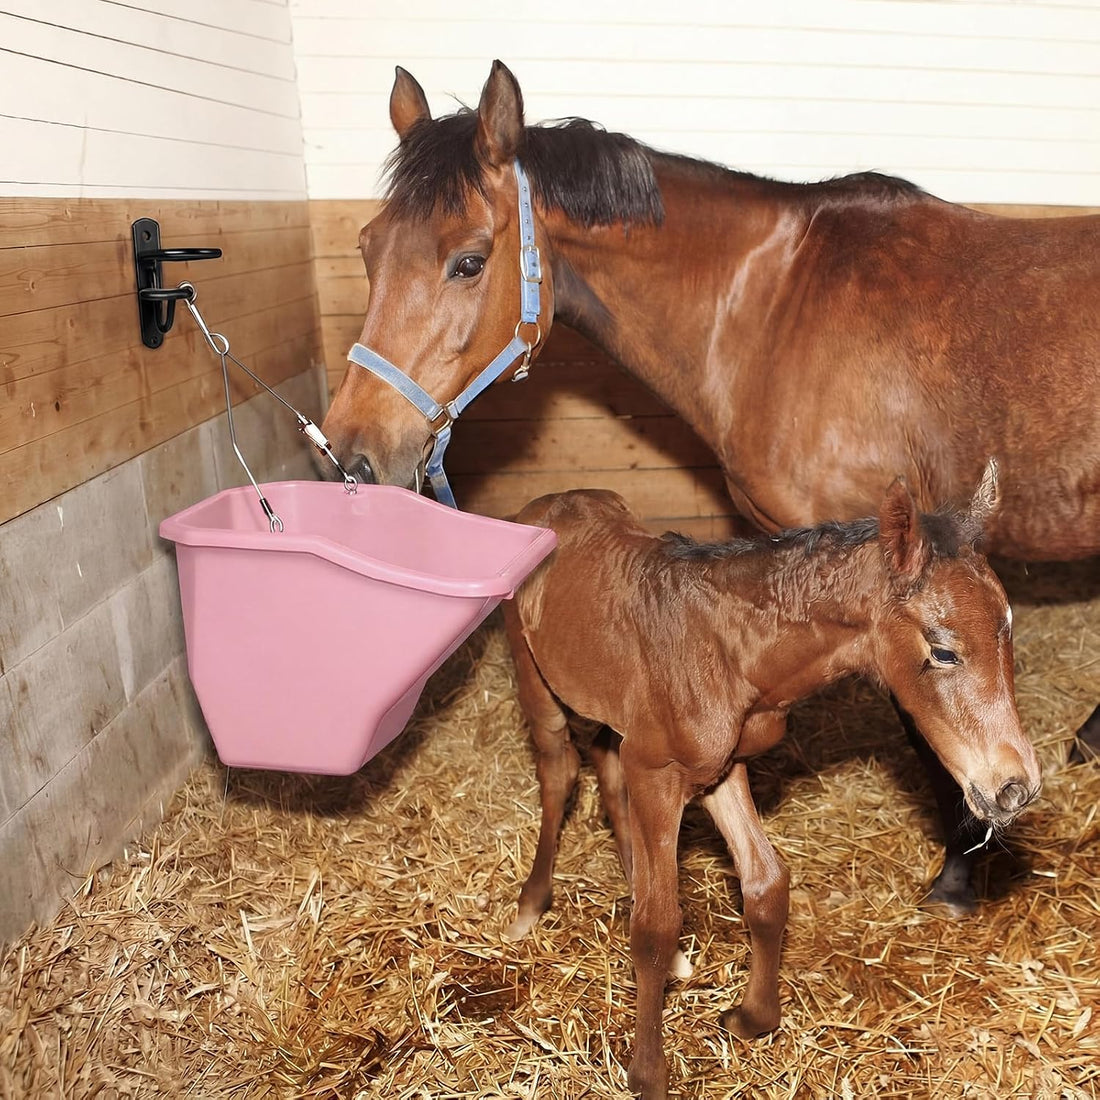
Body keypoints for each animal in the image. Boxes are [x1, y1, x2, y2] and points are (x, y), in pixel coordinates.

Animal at [500, 464, 1040, 1100]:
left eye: (1009, 628)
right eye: (944, 650)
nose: (1015, 787)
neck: (728, 650)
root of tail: (550, 502)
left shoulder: (721, 769)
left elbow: (765, 885)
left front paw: (750, 1017)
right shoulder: (658, 774)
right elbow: (656, 925)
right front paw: (647, 1073)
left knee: (606, 765)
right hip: (534, 675)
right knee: (559, 769)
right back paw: (531, 903)